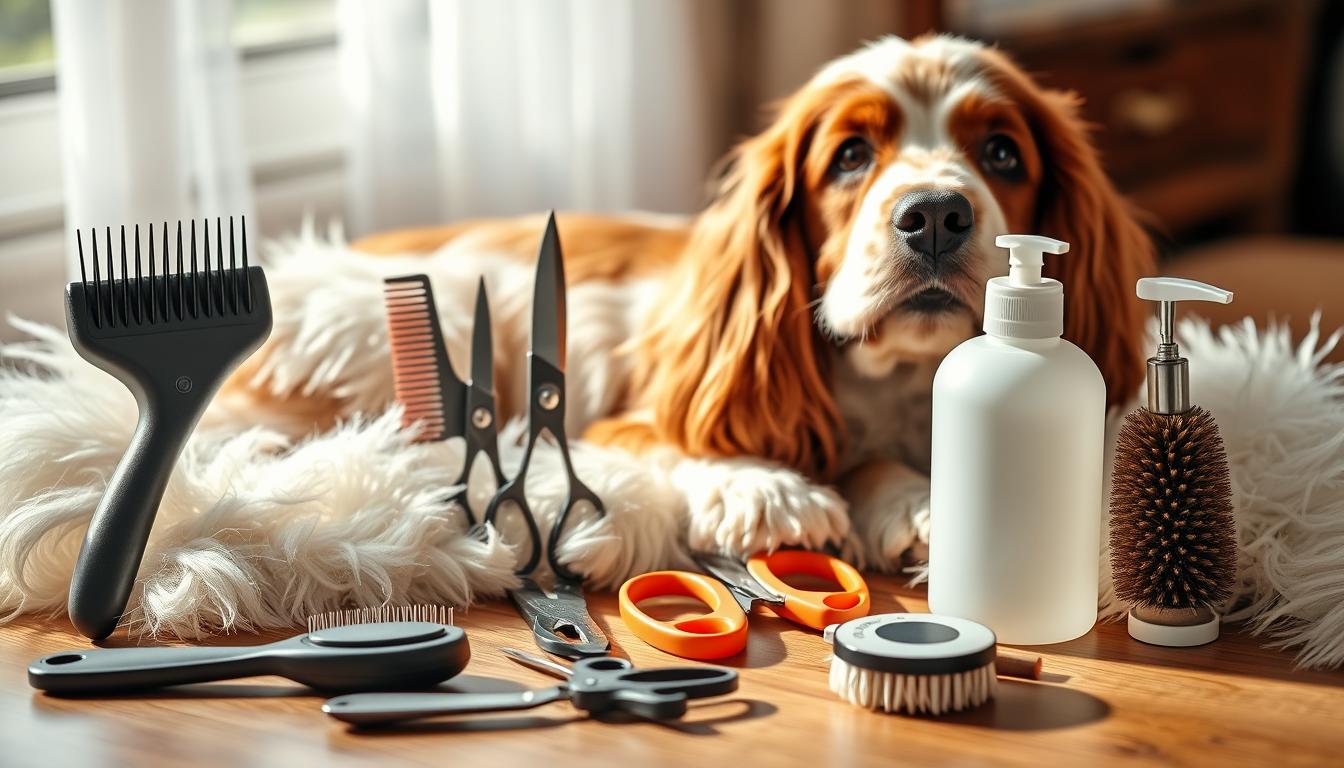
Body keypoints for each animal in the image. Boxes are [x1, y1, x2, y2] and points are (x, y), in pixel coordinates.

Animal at [236, 35, 1150, 567]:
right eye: (850, 156)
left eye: (1002, 152)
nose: (934, 215)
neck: (896, 380)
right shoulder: (618, 419)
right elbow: (690, 439)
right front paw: (765, 488)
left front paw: (922, 503)